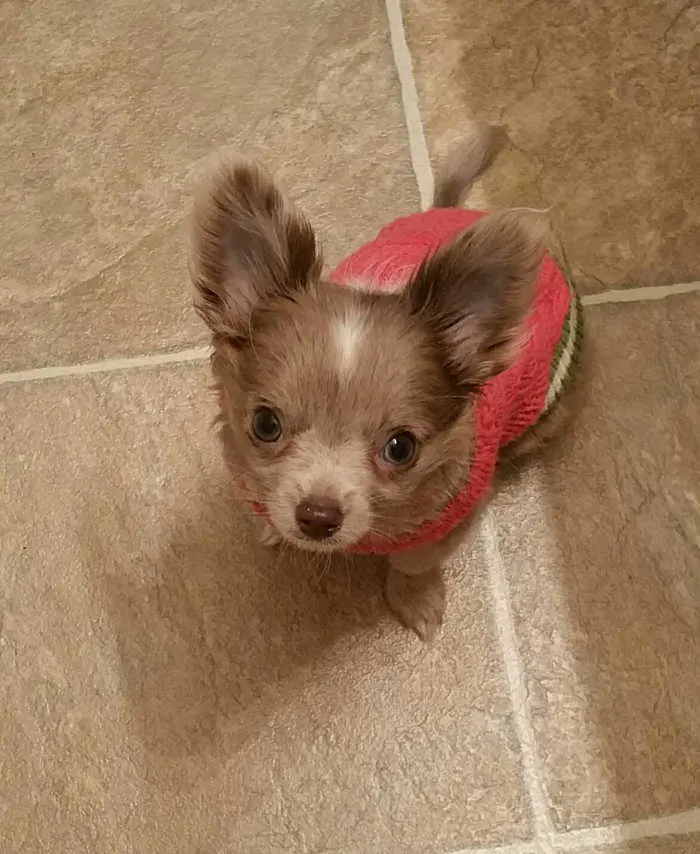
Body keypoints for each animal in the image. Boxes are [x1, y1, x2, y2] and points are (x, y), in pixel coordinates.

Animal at [189, 120, 584, 640]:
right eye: (265, 425)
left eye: (401, 448)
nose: (317, 517)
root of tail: (452, 210)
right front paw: (272, 522)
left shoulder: (447, 520)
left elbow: (413, 561)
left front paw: (414, 599)